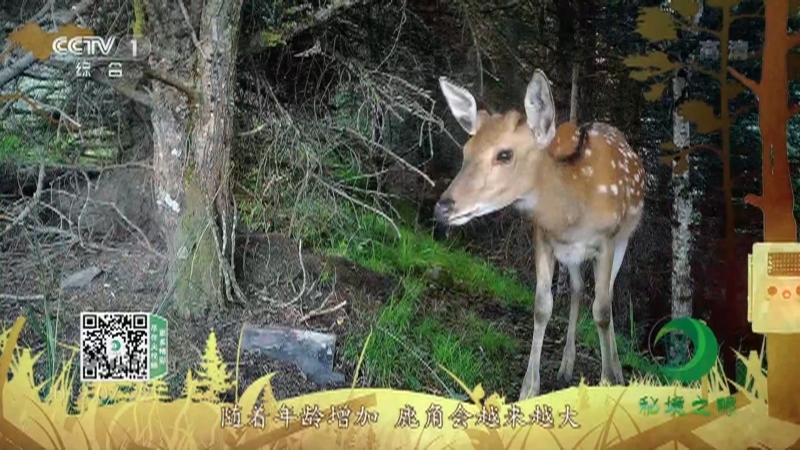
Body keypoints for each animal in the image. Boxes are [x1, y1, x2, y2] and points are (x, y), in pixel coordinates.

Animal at [433, 70, 646, 400]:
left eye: (504, 154)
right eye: (466, 151)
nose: (443, 206)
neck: (572, 210)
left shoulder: (607, 240)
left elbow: (602, 311)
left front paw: (608, 381)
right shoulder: (543, 238)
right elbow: (542, 307)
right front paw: (528, 390)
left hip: (624, 237)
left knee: (605, 296)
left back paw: (615, 371)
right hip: (571, 254)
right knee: (577, 288)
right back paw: (566, 367)